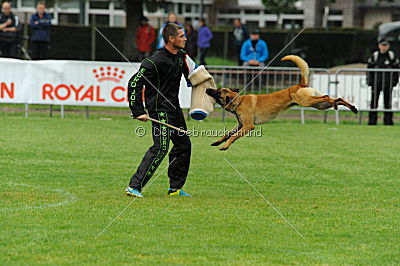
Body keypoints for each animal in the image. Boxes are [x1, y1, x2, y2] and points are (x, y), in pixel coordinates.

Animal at [206, 55, 356, 151]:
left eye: (218, 92)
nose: (207, 89)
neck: (239, 101)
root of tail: (300, 84)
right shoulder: (240, 125)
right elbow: (227, 134)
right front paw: (218, 142)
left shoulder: (248, 126)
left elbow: (233, 137)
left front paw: (225, 146)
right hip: (318, 105)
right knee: (337, 99)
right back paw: (352, 108)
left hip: (308, 102)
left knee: (327, 96)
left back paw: (340, 104)